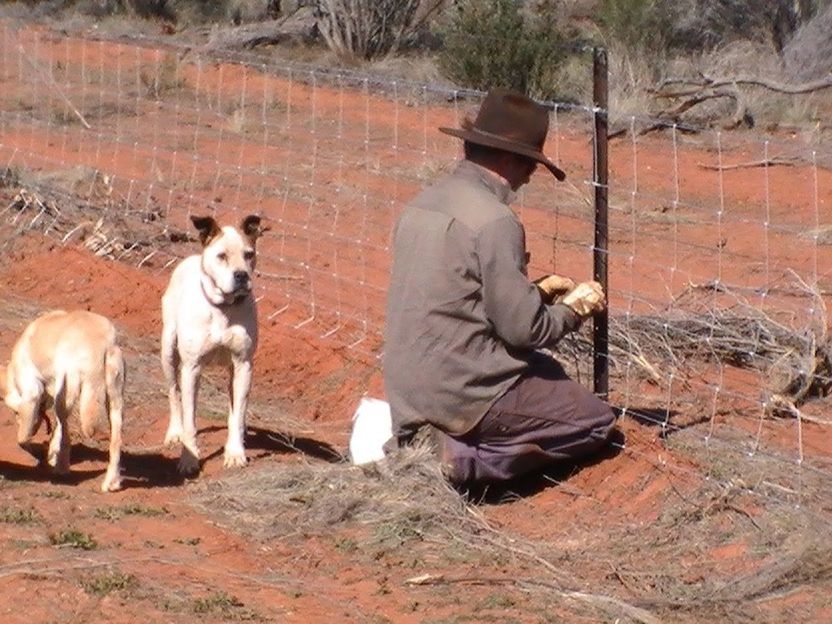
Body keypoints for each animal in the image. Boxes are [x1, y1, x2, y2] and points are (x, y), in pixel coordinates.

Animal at [0, 310, 125, 492]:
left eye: (16, 412)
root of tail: (98, 343)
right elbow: (56, 430)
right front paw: (52, 453)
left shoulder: (32, 391)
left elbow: (22, 439)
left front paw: (42, 456)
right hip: (115, 400)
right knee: (115, 442)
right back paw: (112, 482)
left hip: (65, 389)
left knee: (67, 437)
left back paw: (62, 468)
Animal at [161, 214, 264, 472]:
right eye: (222, 256)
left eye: (249, 254)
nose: (241, 275)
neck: (224, 307)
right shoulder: (192, 368)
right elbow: (190, 417)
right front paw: (189, 458)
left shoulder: (243, 364)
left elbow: (237, 414)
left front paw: (235, 453)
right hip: (168, 351)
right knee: (173, 392)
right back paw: (174, 432)